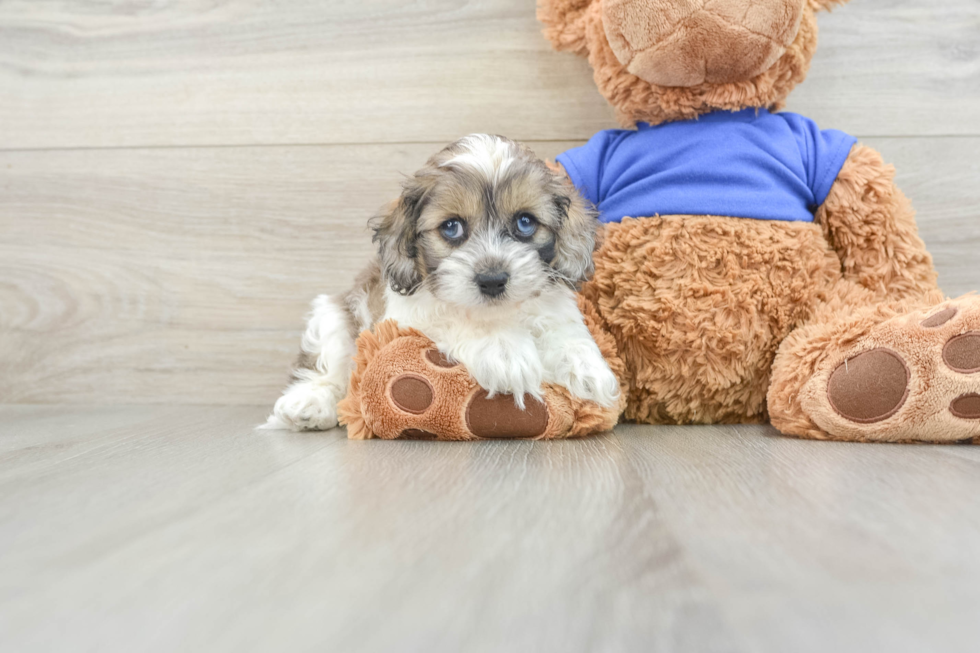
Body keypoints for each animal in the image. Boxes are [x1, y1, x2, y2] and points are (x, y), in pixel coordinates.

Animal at [266, 133, 620, 430]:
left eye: (525, 222)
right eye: (451, 227)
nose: (492, 280)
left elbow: (564, 329)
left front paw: (585, 366)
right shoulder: (408, 318)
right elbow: (455, 318)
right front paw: (504, 350)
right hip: (333, 317)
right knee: (328, 369)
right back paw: (309, 403)